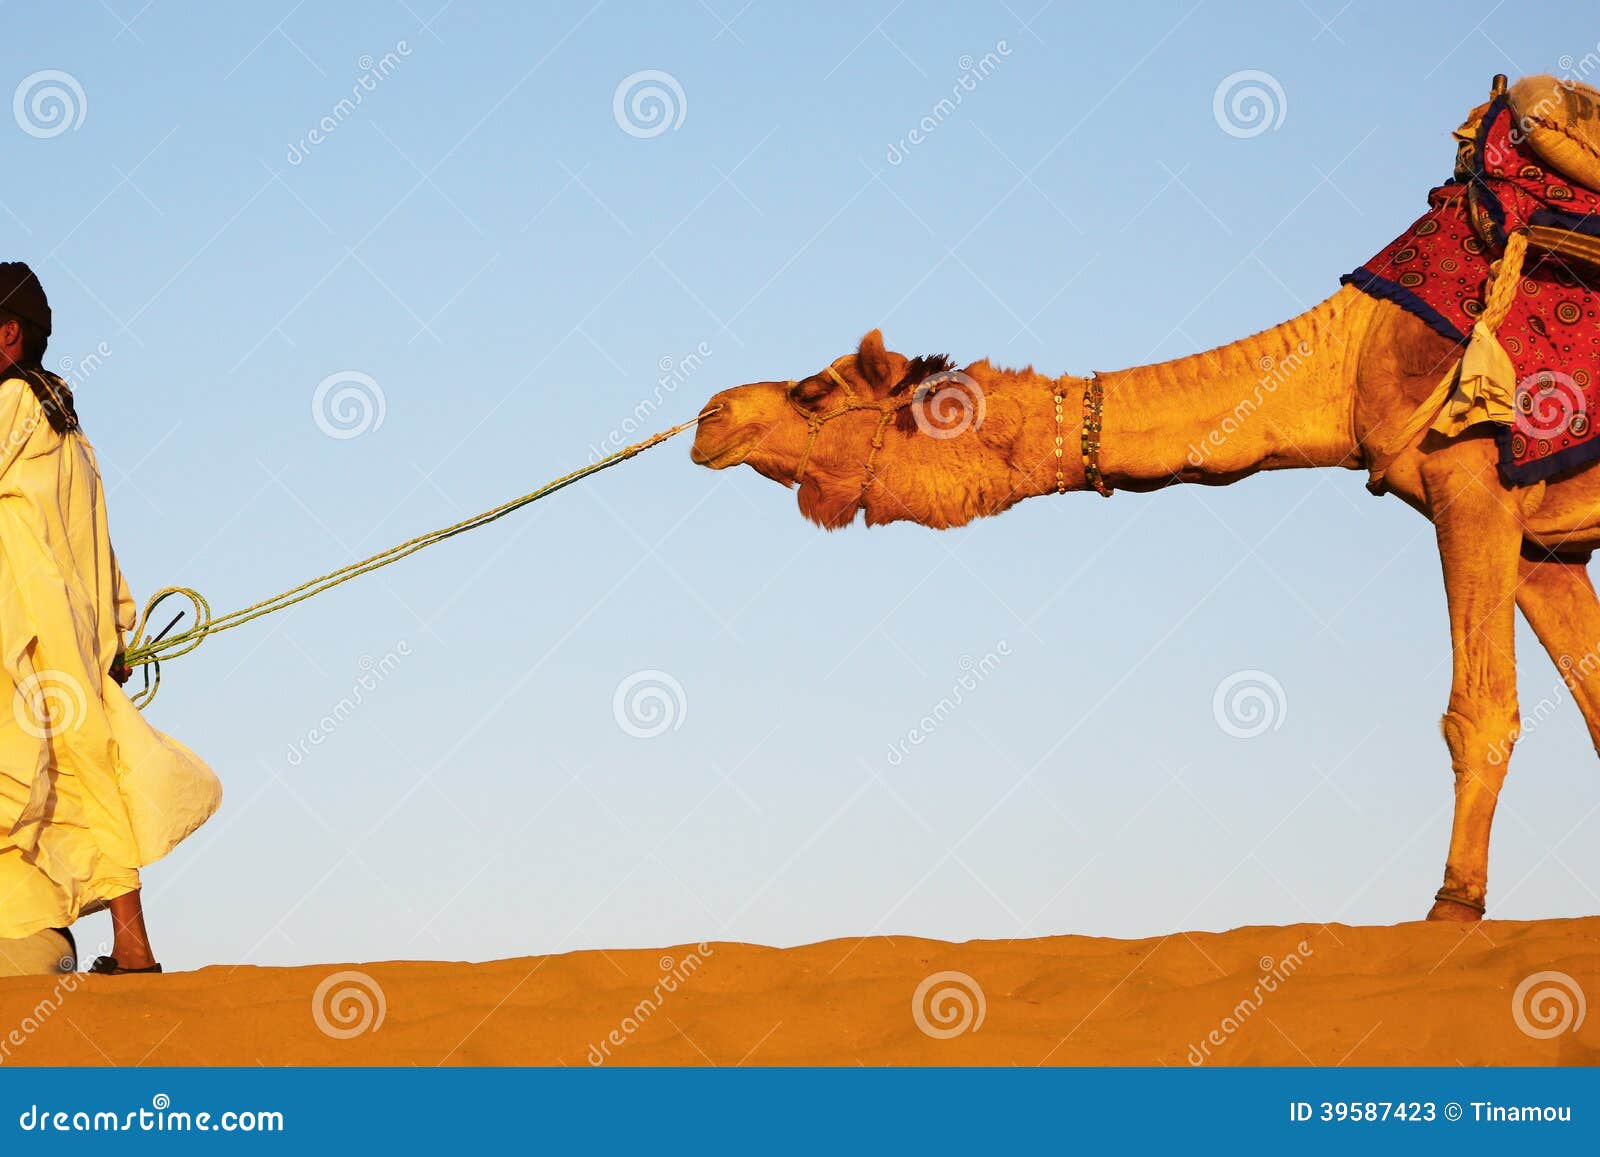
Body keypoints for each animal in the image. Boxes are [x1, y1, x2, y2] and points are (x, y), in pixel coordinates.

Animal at [694, 289, 1600, 921]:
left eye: (812, 392)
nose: (710, 415)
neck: (1345, 361)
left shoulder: (1472, 480)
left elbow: (1480, 709)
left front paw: (1453, 909)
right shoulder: (1543, 546)